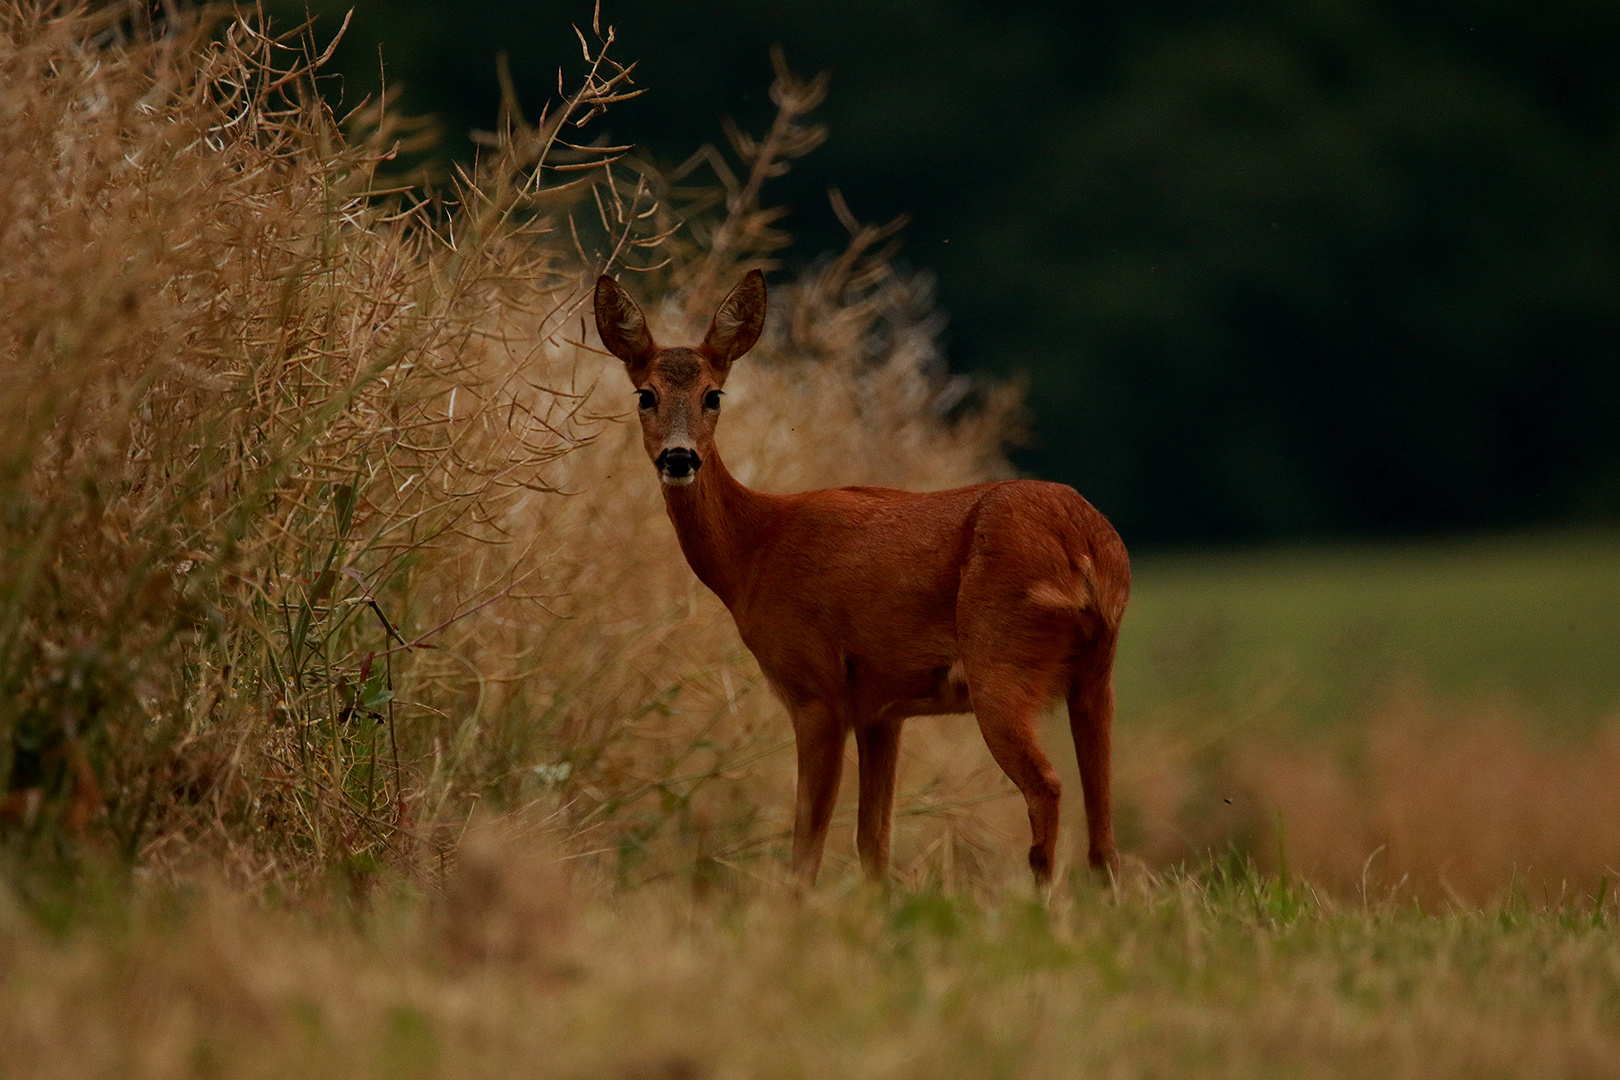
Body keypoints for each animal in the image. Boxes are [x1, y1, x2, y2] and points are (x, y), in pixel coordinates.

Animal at [592, 270, 1127, 887]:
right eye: (645, 394)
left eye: (713, 395)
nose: (679, 459)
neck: (754, 553)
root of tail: (1084, 545)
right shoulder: (882, 708)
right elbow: (874, 842)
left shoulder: (816, 687)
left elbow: (806, 849)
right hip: (1096, 673)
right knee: (1104, 826)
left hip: (1000, 659)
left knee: (1047, 787)